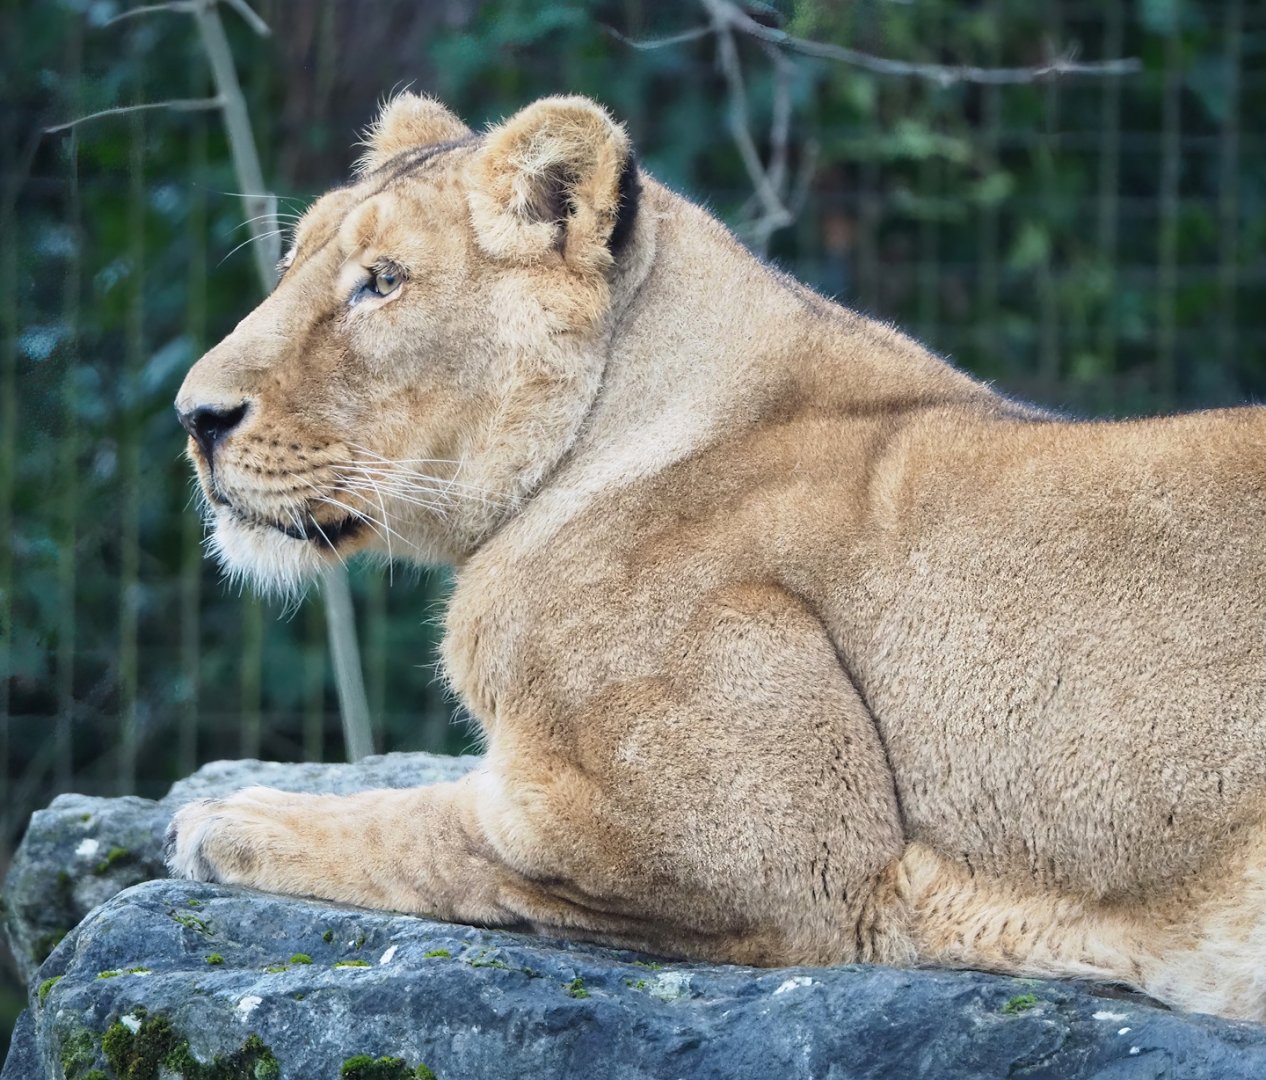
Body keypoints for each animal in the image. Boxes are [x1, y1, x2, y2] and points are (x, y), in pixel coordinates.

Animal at [167, 92, 1266, 1021]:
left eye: (381, 284)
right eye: (293, 263)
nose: (193, 417)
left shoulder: (760, 844)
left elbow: (426, 829)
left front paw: (230, 817)